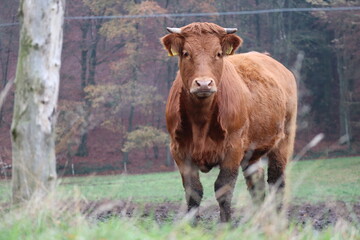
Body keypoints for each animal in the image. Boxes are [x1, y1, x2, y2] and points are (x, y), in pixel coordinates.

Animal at [160, 22, 296, 223]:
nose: (203, 84)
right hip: (252, 151)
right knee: (257, 184)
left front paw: (226, 225)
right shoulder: (179, 150)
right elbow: (193, 192)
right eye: (186, 53)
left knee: (276, 181)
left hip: (284, 140)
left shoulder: (233, 148)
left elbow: (223, 189)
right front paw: (192, 225)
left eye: (218, 53)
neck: (200, 120)